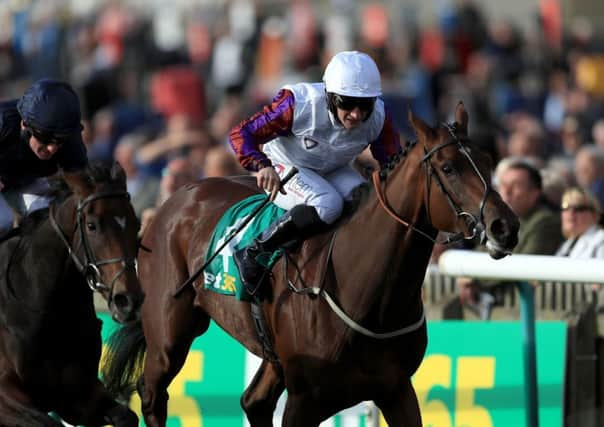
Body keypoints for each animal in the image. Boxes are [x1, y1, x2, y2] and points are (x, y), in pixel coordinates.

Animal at [0, 162, 143, 426]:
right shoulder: (6, 394)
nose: (128, 301)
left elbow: (126, 416)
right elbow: (46, 422)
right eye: (92, 225)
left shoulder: (77, 394)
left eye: (136, 225)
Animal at [104, 104, 520, 427]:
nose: (506, 226)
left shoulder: (397, 388)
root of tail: (175, 199)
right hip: (169, 333)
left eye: (487, 161)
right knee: (152, 393)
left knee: (254, 402)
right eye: (449, 168)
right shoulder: (306, 399)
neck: (368, 293)